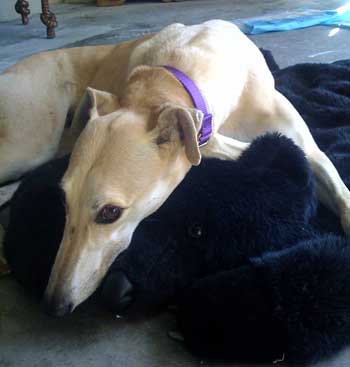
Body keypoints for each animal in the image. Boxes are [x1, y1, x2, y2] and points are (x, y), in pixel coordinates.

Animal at [1, 21, 348, 318]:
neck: (175, 76)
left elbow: (331, 182)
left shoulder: (311, 151)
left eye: (110, 213)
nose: (53, 305)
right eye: (64, 202)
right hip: (31, 143)